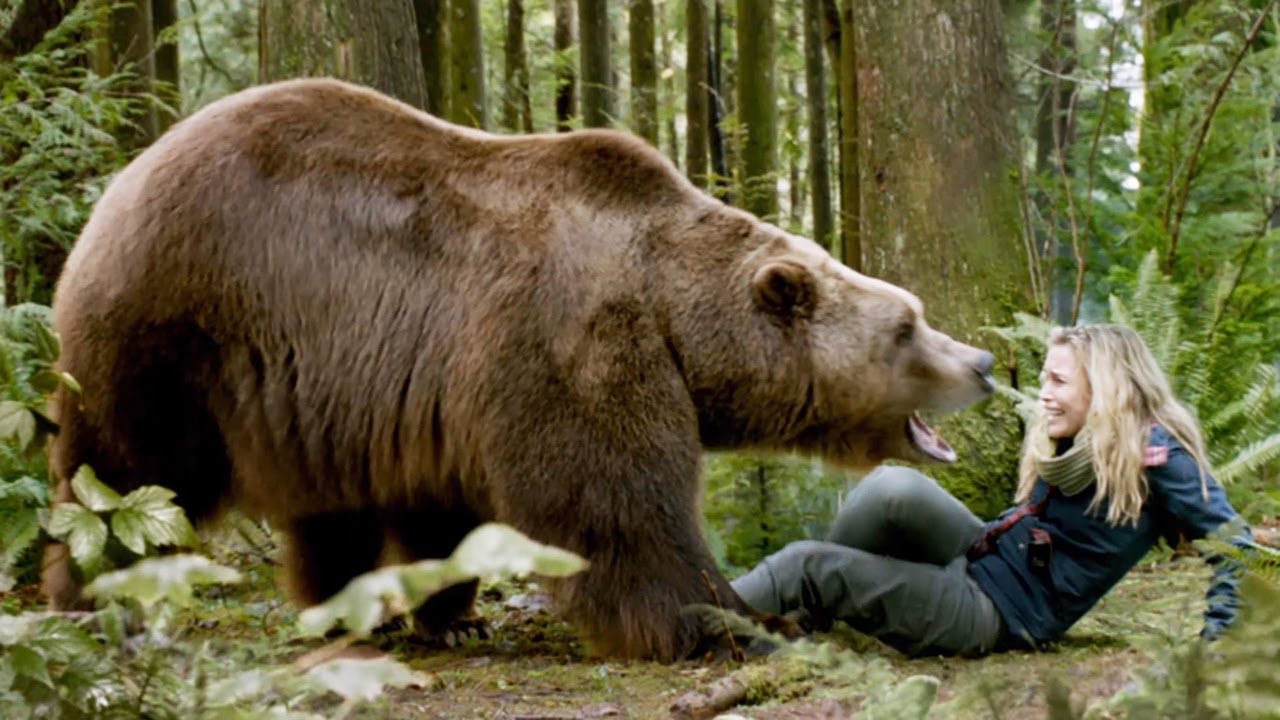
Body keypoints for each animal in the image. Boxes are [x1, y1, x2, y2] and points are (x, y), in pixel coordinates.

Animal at [40, 77, 993, 655]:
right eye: (908, 322)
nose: (982, 360)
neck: (674, 310)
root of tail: (124, 177)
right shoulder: (571, 341)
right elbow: (615, 506)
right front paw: (738, 619)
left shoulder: (439, 388)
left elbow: (442, 511)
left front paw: (447, 616)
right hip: (171, 330)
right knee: (125, 474)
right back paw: (93, 597)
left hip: (307, 388)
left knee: (327, 511)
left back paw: (343, 610)